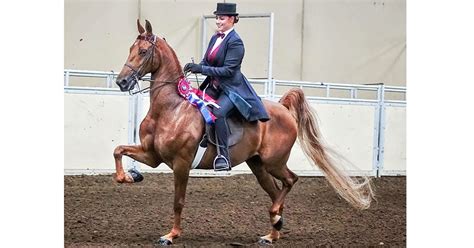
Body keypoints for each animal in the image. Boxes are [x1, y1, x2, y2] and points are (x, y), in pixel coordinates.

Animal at [114, 19, 374, 246]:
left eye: (144, 51)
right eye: (130, 49)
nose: (122, 82)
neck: (171, 109)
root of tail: (283, 108)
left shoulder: (181, 163)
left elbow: (178, 201)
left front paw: (171, 235)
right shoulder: (153, 155)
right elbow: (118, 150)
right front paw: (129, 177)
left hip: (274, 162)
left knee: (290, 181)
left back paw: (276, 218)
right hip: (258, 165)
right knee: (275, 191)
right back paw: (272, 233)